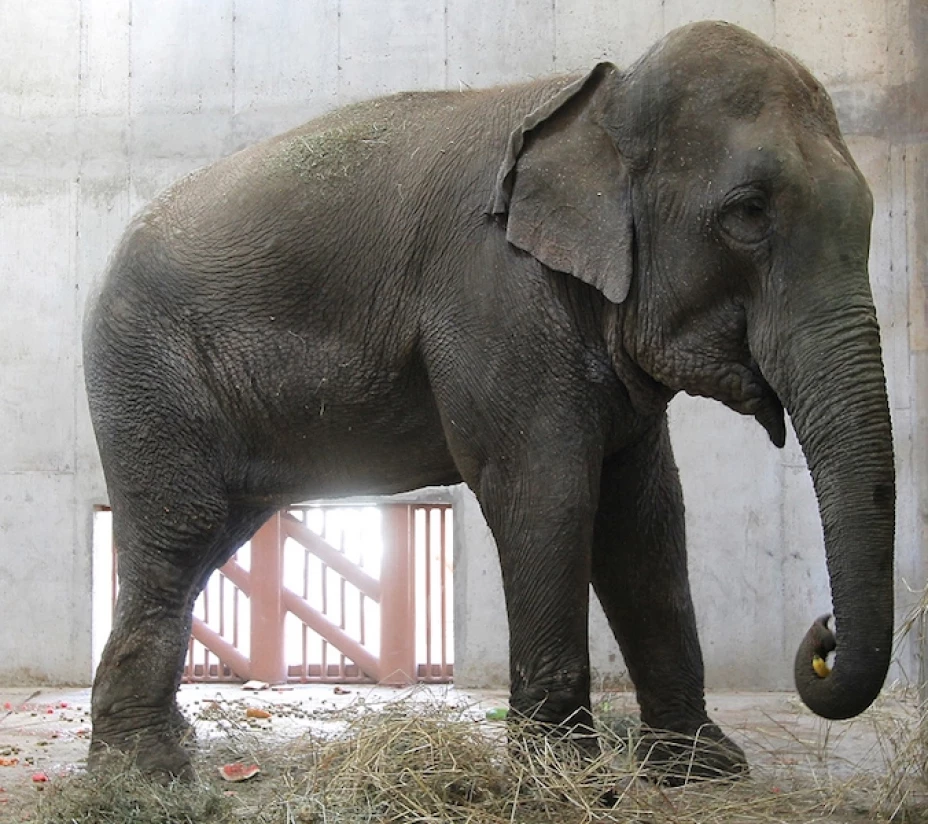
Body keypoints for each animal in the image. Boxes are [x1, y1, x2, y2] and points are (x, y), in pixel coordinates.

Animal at [83, 20, 895, 781]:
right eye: (748, 213)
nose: (822, 638)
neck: (600, 105)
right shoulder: (494, 294)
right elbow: (547, 492)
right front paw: (564, 780)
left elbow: (645, 517)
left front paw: (702, 769)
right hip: (146, 374)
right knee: (179, 534)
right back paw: (149, 771)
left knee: (213, 539)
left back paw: (166, 750)